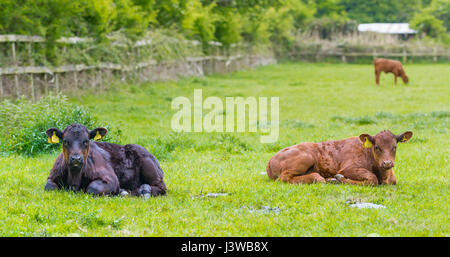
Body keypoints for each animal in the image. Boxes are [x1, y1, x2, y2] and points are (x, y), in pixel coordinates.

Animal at [266, 129, 414, 185]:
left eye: (395, 146)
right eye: (376, 147)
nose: (387, 163)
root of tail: (271, 159)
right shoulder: (348, 168)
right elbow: (372, 179)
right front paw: (339, 178)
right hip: (306, 157)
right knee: (285, 177)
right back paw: (319, 178)